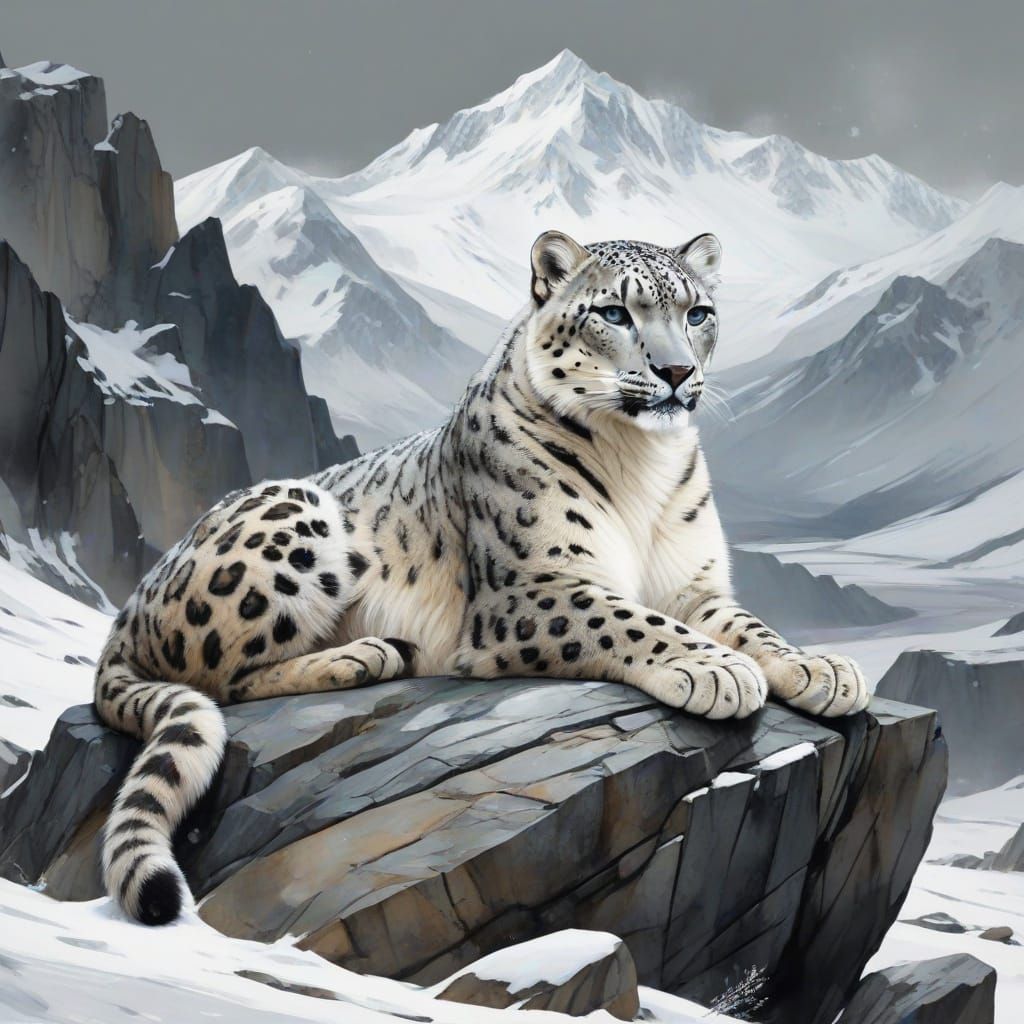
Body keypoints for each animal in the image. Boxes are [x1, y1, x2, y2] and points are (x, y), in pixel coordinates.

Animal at [94, 229, 869, 926]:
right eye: (615, 314)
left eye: (698, 313)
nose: (677, 373)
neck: (640, 461)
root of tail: (129, 608)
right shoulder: (531, 587)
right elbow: (631, 620)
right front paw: (716, 670)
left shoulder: (694, 585)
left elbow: (748, 623)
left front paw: (819, 668)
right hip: (295, 515)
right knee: (221, 679)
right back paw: (365, 654)